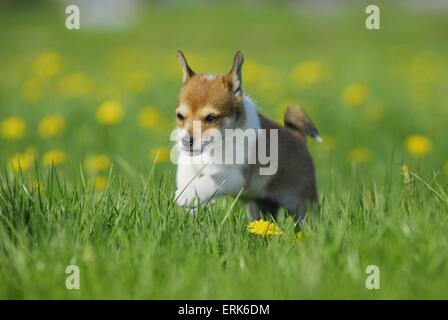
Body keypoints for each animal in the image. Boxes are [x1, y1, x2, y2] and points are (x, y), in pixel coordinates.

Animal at [173, 50, 320, 220]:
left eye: (211, 118)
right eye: (180, 116)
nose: (186, 141)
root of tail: (299, 137)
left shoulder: (235, 176)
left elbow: (210, 180)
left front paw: (188, 194)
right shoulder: (188, 167)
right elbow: (189, 180)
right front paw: (190, 208)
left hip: (302, 206)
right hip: (260, 205)